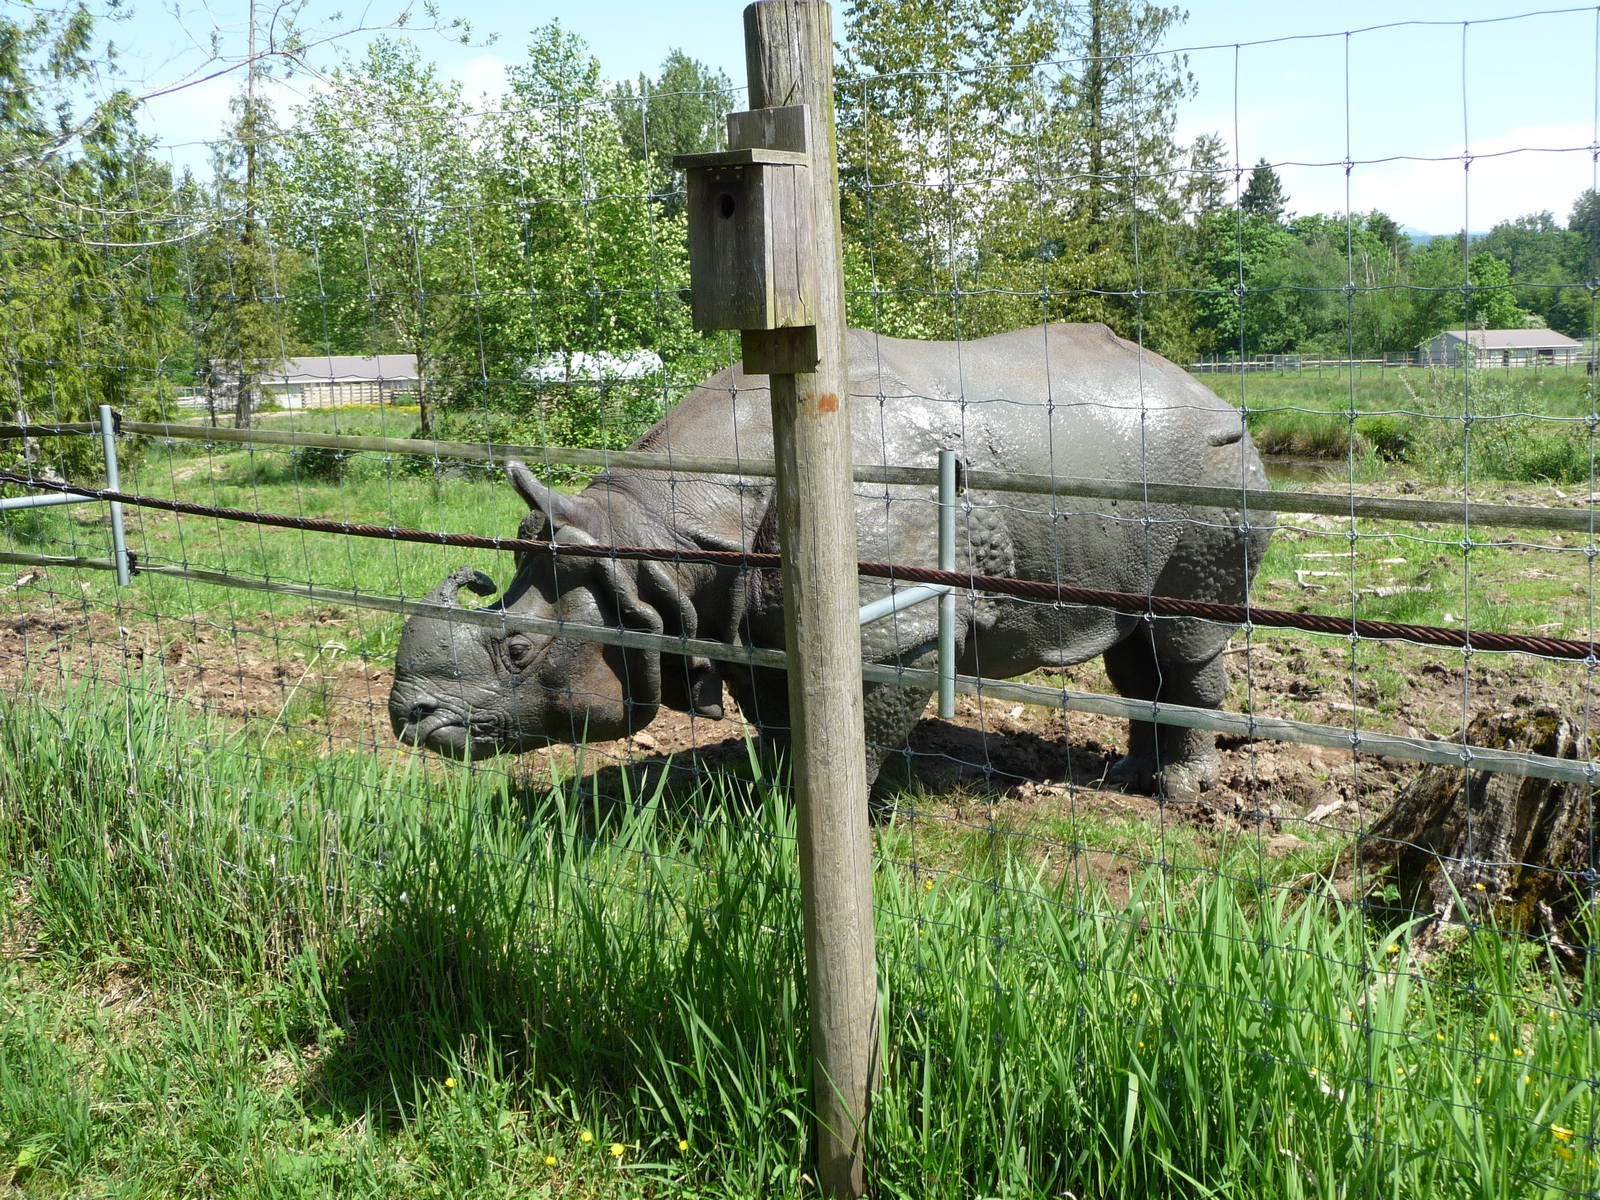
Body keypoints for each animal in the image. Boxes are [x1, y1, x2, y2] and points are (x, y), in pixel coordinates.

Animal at [389, 323, 1273, 800]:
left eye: (517, 651)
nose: (409, 720)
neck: (653, 539)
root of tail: (1216, 396)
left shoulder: (892, 628)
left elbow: (857, 729)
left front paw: (826, 815)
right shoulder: (735, 611)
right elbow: (784, 716)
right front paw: (778, 807)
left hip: (1214, 471)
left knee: (1187, 638)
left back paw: (1175, 795)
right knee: (1134, 640)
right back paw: (1129, 780)